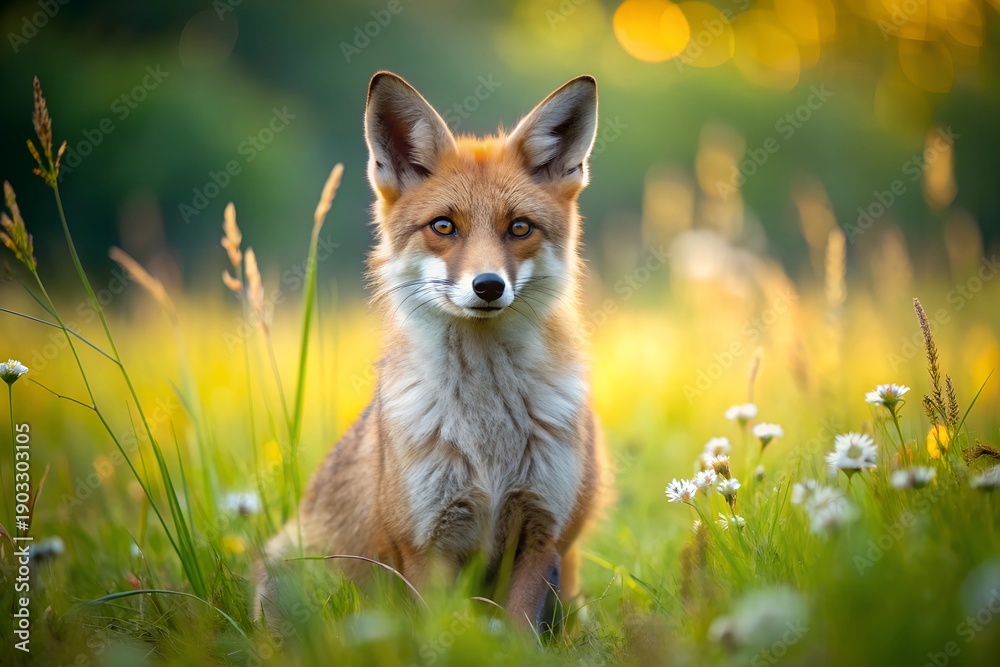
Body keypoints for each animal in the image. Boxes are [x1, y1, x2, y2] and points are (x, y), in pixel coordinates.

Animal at [255, 71, 607, 630]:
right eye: (444, 226)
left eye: (520, 228)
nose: (488, 286)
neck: (488, 435)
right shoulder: (425, 542)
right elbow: (441, 633)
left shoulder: (541, 531)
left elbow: (518, 632)